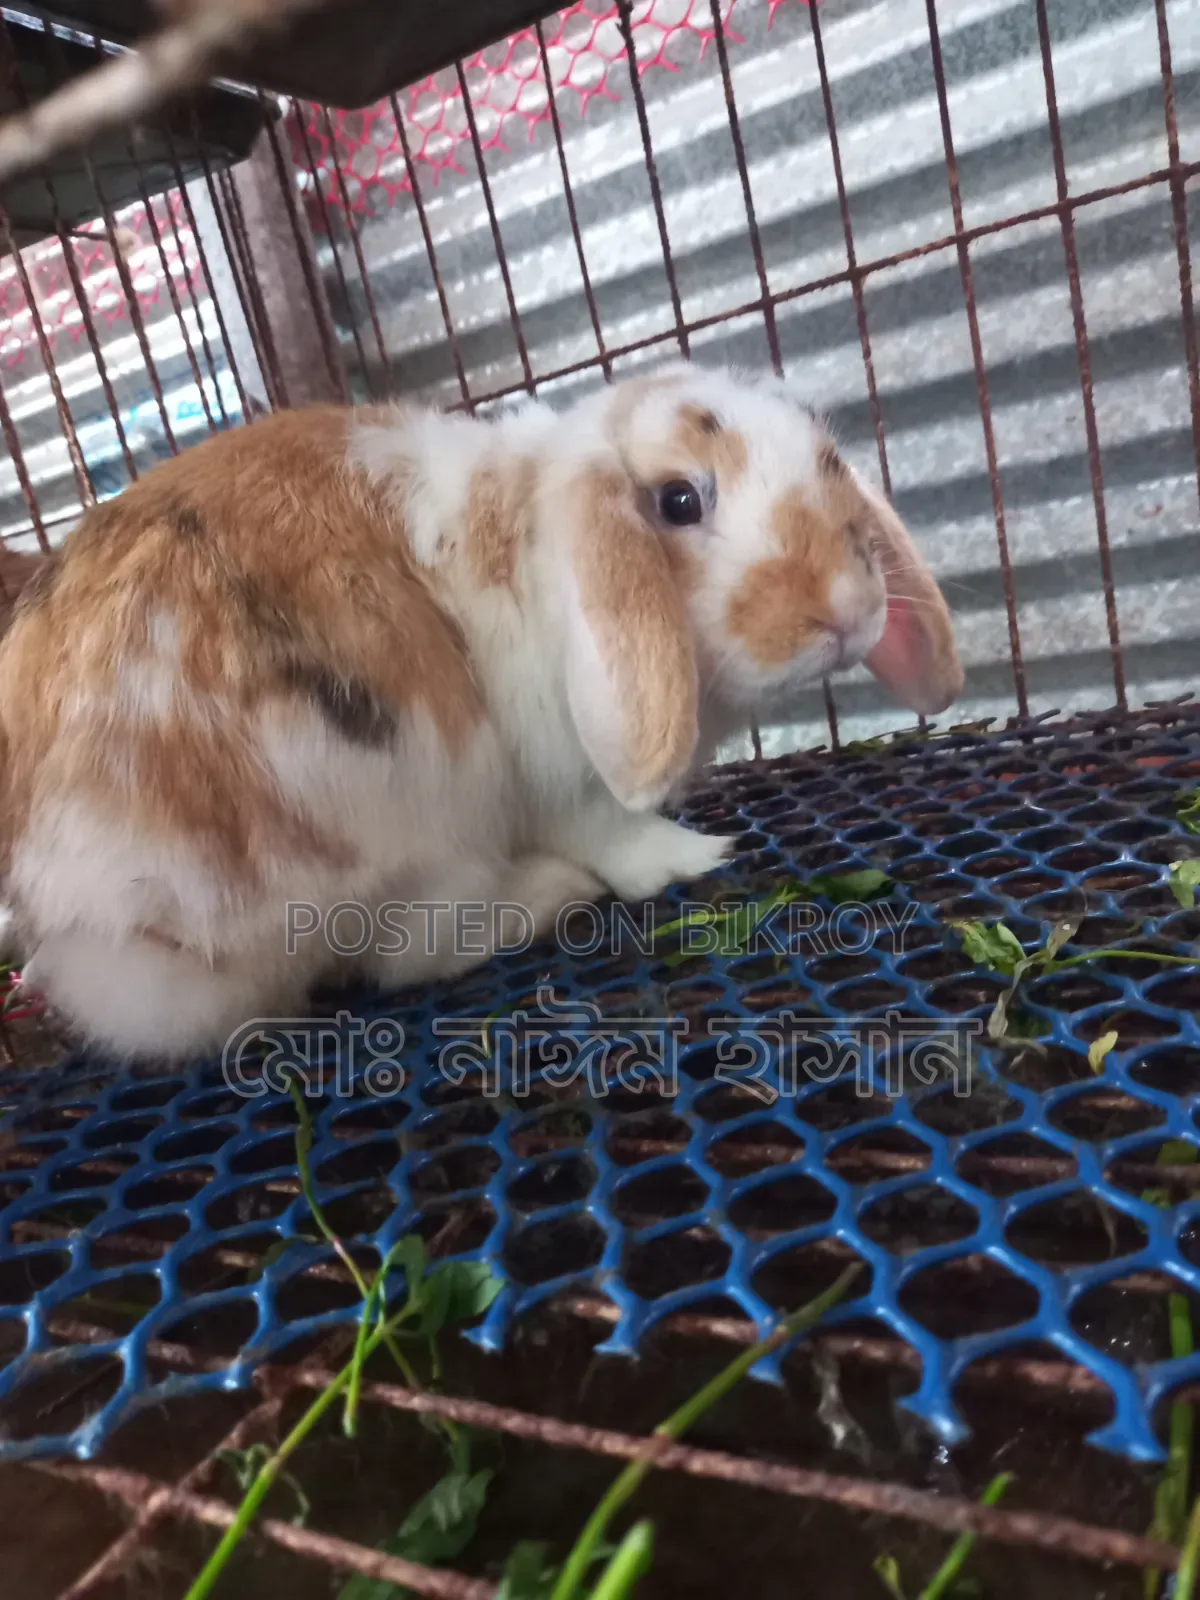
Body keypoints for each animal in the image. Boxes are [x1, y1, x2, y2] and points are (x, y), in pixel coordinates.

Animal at [0, 361, 962, 1062]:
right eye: (680, 500)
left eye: (829, 465)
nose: (847, 610)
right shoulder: (561, 780)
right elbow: (613, 831)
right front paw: (693, 854)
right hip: (410, 832)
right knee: (407, 953)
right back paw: (550, 894)